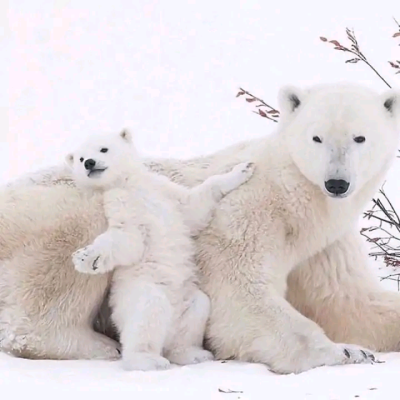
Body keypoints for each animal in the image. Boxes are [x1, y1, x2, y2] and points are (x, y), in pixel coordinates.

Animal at [0, 83, 400, 374]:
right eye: (316, 138)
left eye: (360, 138)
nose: (337, 183)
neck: (297, 202)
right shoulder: (249, 212)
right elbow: (238, 291)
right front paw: (345, 351)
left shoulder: (323, 246)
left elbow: (346, 300)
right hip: (62, 210)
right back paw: (99, 344)